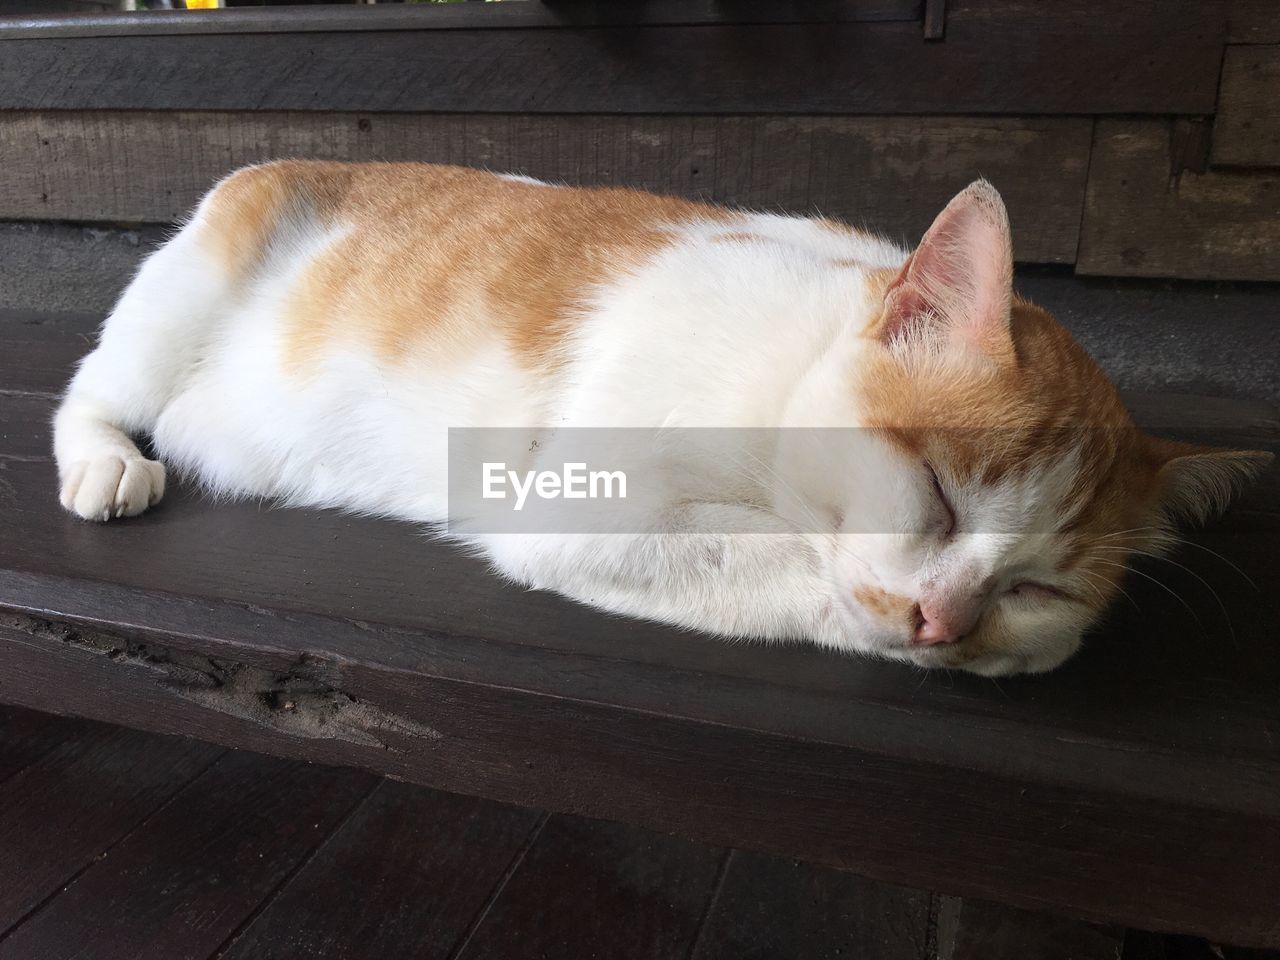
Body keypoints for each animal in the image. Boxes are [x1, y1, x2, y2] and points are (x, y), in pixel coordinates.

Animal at [52, 163, 1269, 675]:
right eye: (937, 496)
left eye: (1037, 588)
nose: (945, 622)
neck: (787, 376)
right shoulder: (577, 508)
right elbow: (782, 569)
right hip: (182, 292)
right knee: (93, 391)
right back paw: (106, 460)